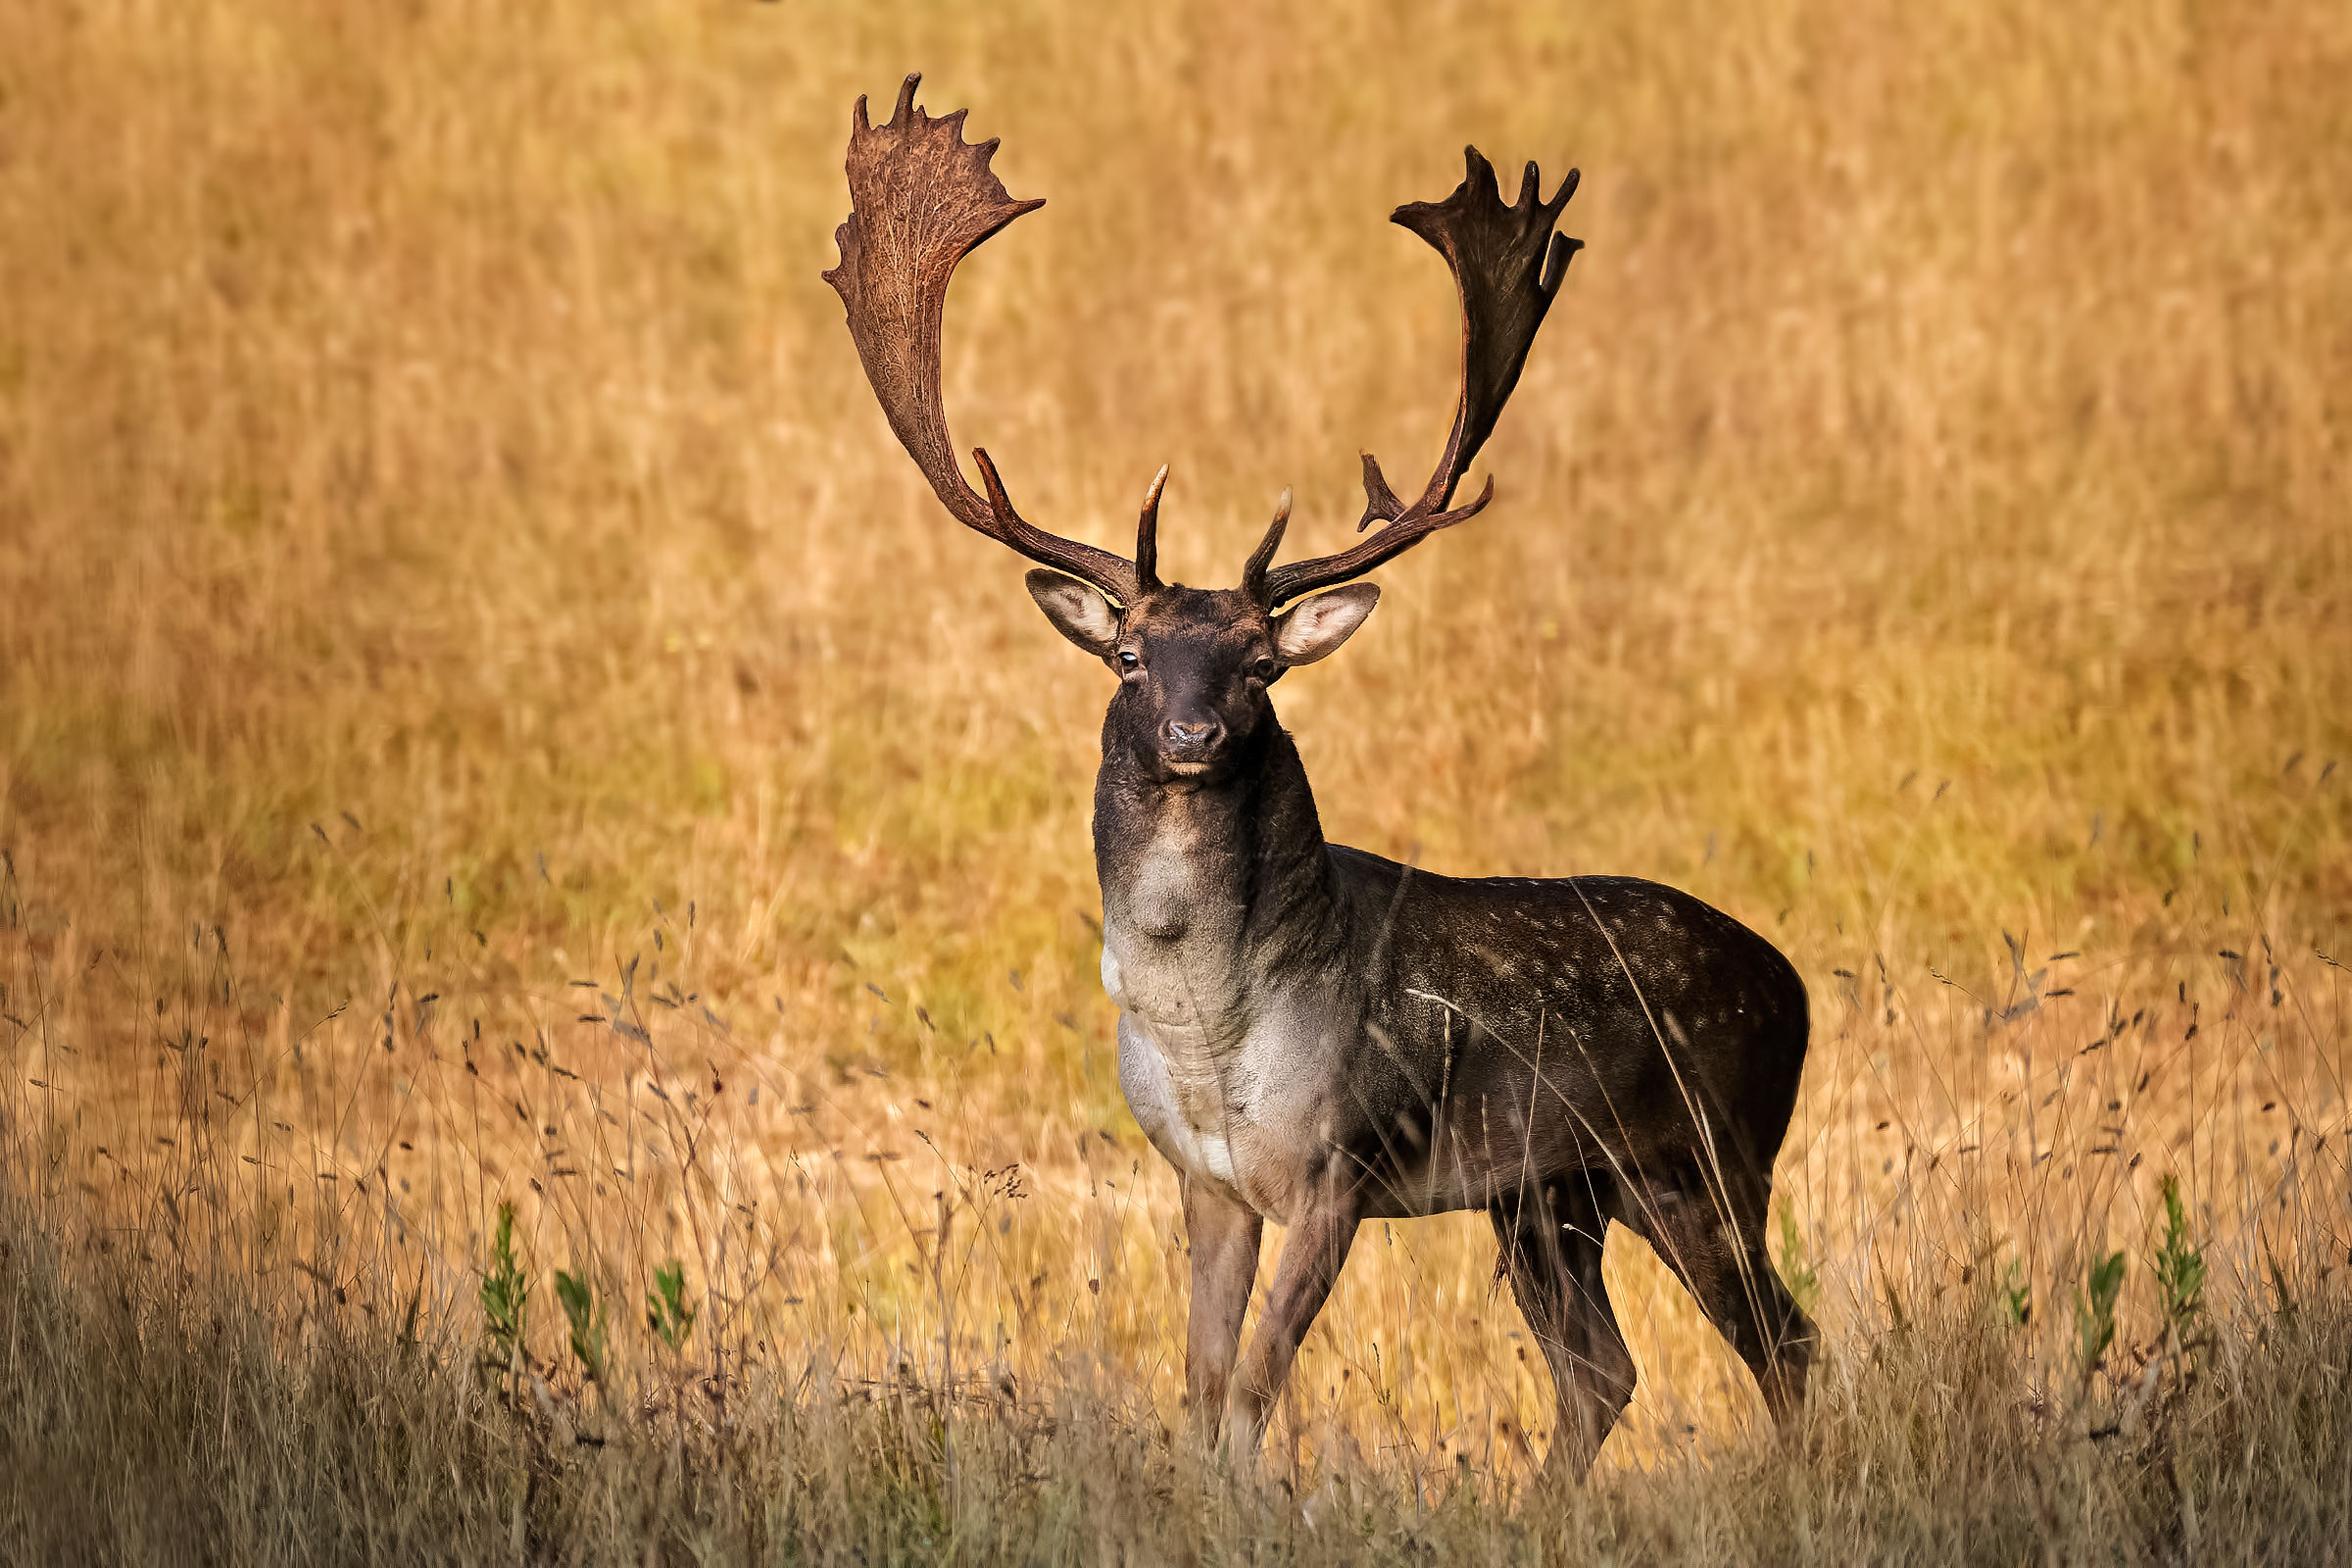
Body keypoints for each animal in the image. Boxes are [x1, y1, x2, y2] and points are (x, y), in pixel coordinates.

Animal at [824, 74, 1814, 1484]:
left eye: (1258, 663)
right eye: (1129, 653)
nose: (1191, 734)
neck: (1206, 1030)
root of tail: (1796, 989)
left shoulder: (1342, 1164)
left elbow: (1254, 1386)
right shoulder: (1206, 1180)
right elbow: (1198, 1382)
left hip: (1707, 1157)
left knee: (1785, 1345)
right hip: (1546, 1195)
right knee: (1602, 1370)